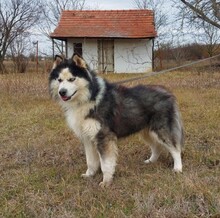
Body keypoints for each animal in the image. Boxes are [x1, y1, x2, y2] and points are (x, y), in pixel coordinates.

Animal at [49, 54, 184, 187]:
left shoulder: (104, 137)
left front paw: (106, 181)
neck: (89, 98)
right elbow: (90, 161)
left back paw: (178, 168)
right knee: (157, 147)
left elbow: (105, 163)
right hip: (147, 132)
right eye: (59, 80)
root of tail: (167, 92)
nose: (62, 92)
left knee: (175, 149)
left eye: (72, 79)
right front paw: (89, 175)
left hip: (161, 130)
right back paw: (151, 161)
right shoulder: (87, 138)